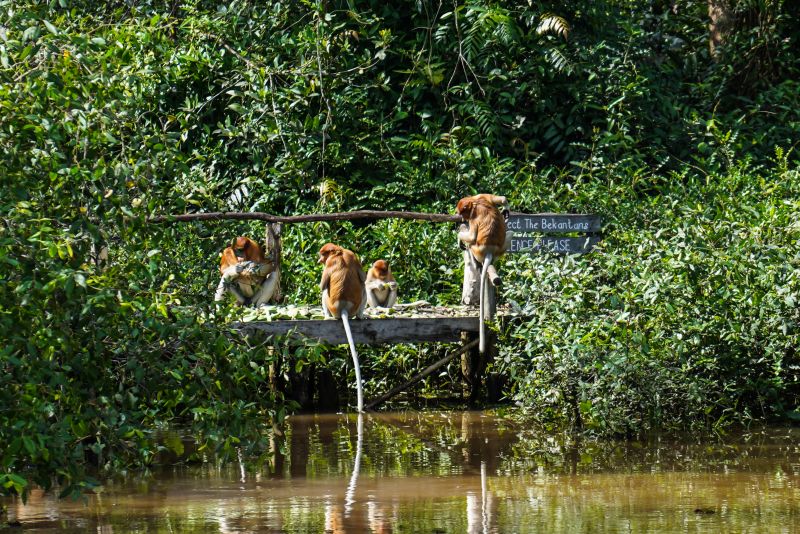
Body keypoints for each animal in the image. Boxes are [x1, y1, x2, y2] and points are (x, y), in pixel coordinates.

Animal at [318, 243, 367, 412]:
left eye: (323, 255)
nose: (319, 260)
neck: (338, 252)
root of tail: (344, 307)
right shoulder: (353, 255)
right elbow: (363, 276)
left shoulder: (330, 263)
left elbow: (322, 285)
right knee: (363, 285)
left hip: (331, 305)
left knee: (326, 291)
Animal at [456, 194, 513, 353]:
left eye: (463, 213)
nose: (462, 218)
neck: (474, 203)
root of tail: (489, 251)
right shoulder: (482, 196)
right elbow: (500, 198)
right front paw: (505, 209)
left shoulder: (473, 216)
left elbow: (471, 236)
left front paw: (459, 235)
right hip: (502, 247)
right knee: (510, 234)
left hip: (476, 250)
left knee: (471, 243)